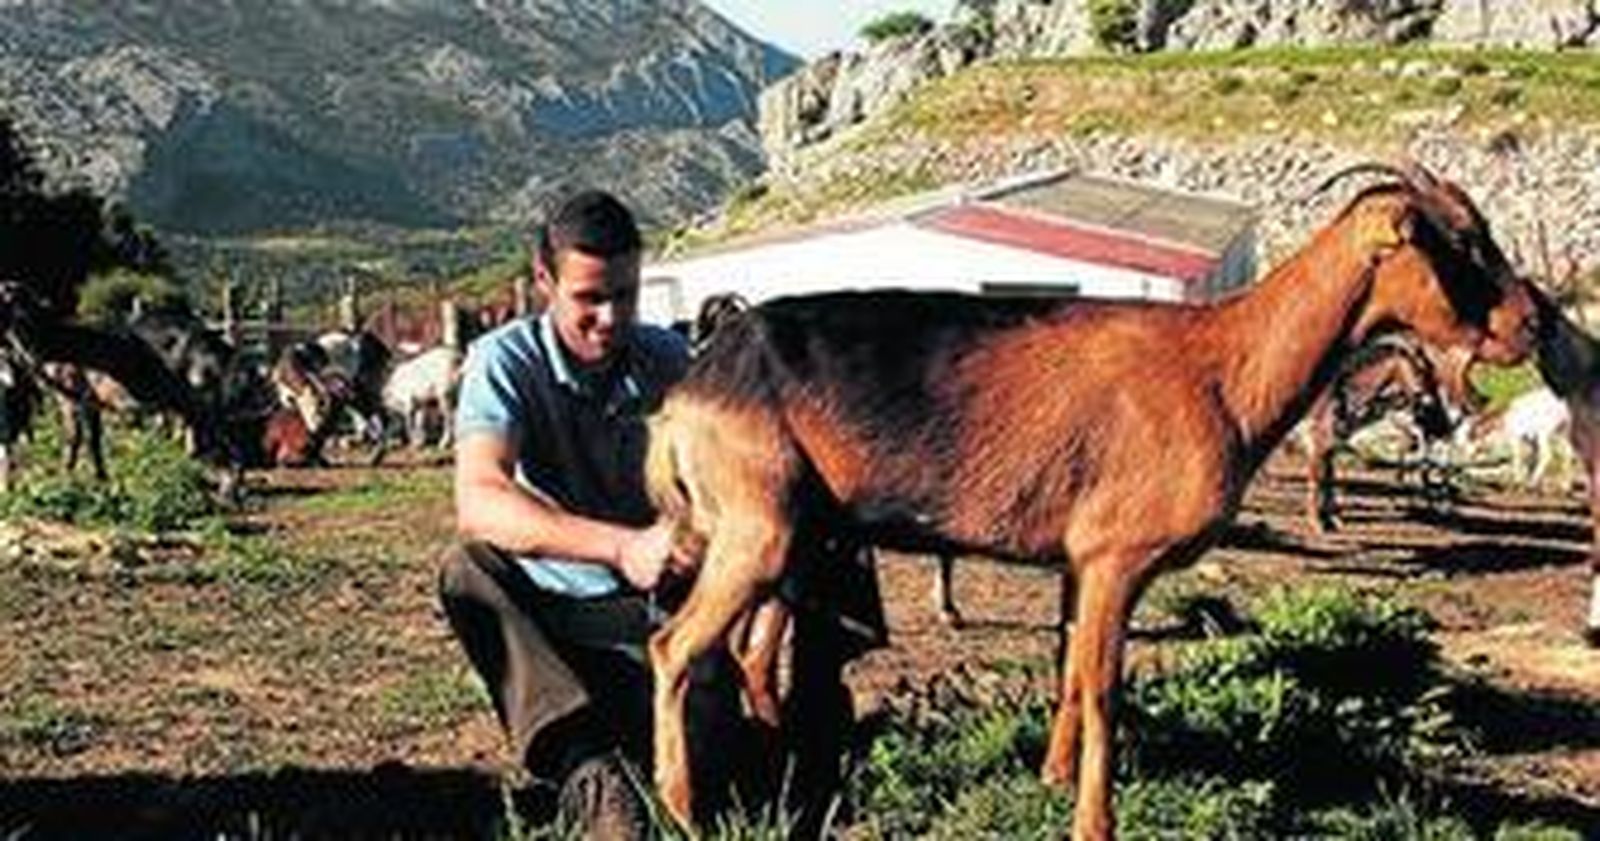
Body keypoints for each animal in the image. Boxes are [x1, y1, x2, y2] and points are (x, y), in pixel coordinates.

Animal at [1301, 334, 1480, 532]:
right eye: (1422, 371)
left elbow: (1329, 478)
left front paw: (1332, 519)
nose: (1443, 425)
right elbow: (1316, 479)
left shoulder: (1330, 445)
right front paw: (1315, 523)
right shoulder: (1318, 441)